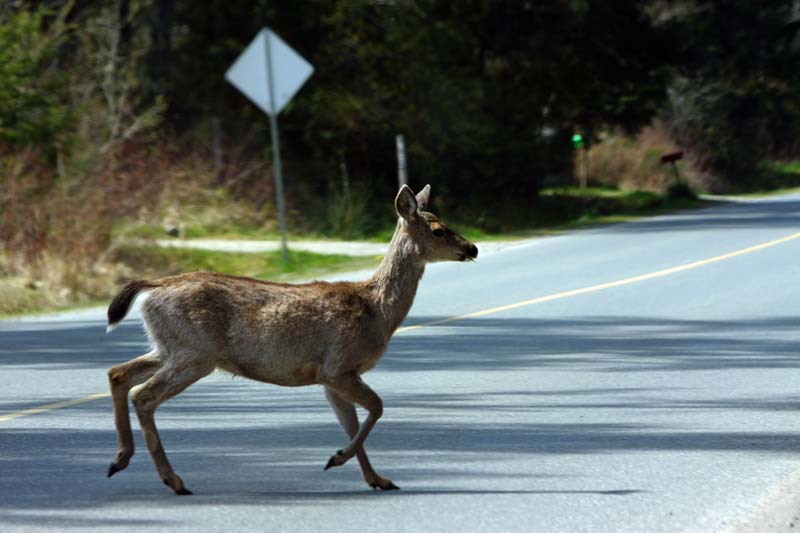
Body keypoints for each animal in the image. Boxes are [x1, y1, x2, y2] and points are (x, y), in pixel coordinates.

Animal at [106, 184, 478, 494]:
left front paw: (377, 478)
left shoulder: (331, 378)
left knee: (118, 373)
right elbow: (377, 407)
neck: (376, 311)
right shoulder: (338, 366)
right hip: (194, 353)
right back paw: (173, 480)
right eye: (439, 229)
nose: (472, 247)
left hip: (169, 346)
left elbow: (351, 423)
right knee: (143, 395)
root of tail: (153, 288)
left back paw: (120, 459)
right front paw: (338, 459)